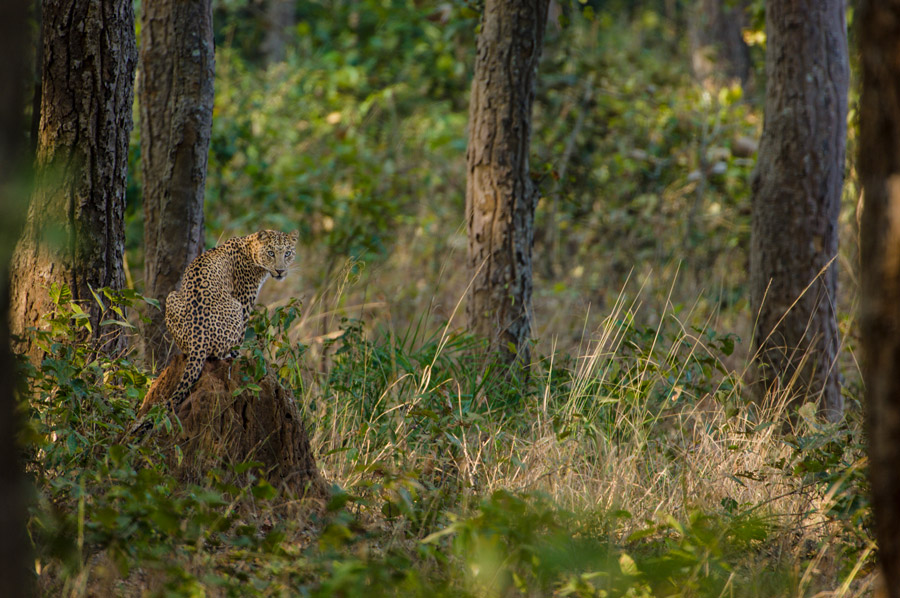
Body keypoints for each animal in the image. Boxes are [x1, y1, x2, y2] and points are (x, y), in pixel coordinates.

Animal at [164, 229, 299, 413]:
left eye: (287, 253)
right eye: (271, 253)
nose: (280, 271)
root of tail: (198, 337)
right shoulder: (244, 300)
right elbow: (240, 339)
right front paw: (238, 357)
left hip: (171, 297)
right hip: (235, 306)